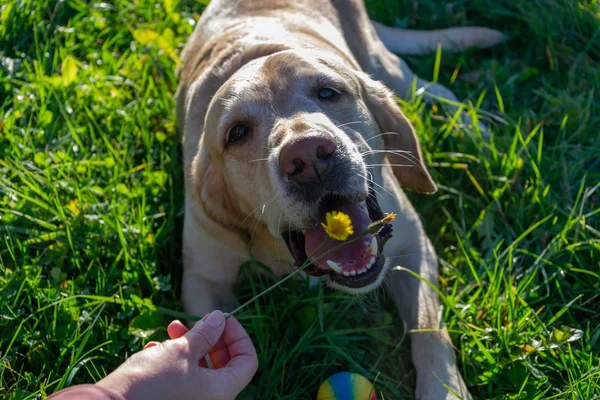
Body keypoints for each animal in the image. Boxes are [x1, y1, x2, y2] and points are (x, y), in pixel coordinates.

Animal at [176, 1, 504, 398]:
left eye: (329, 92)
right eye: (236, 133)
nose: (308, 156)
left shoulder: (414, 247)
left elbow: (429, 330)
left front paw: (443, 390)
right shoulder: (203, 281)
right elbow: (209, 353)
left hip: (386, 66)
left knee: (434, 87)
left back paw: (478, 133)